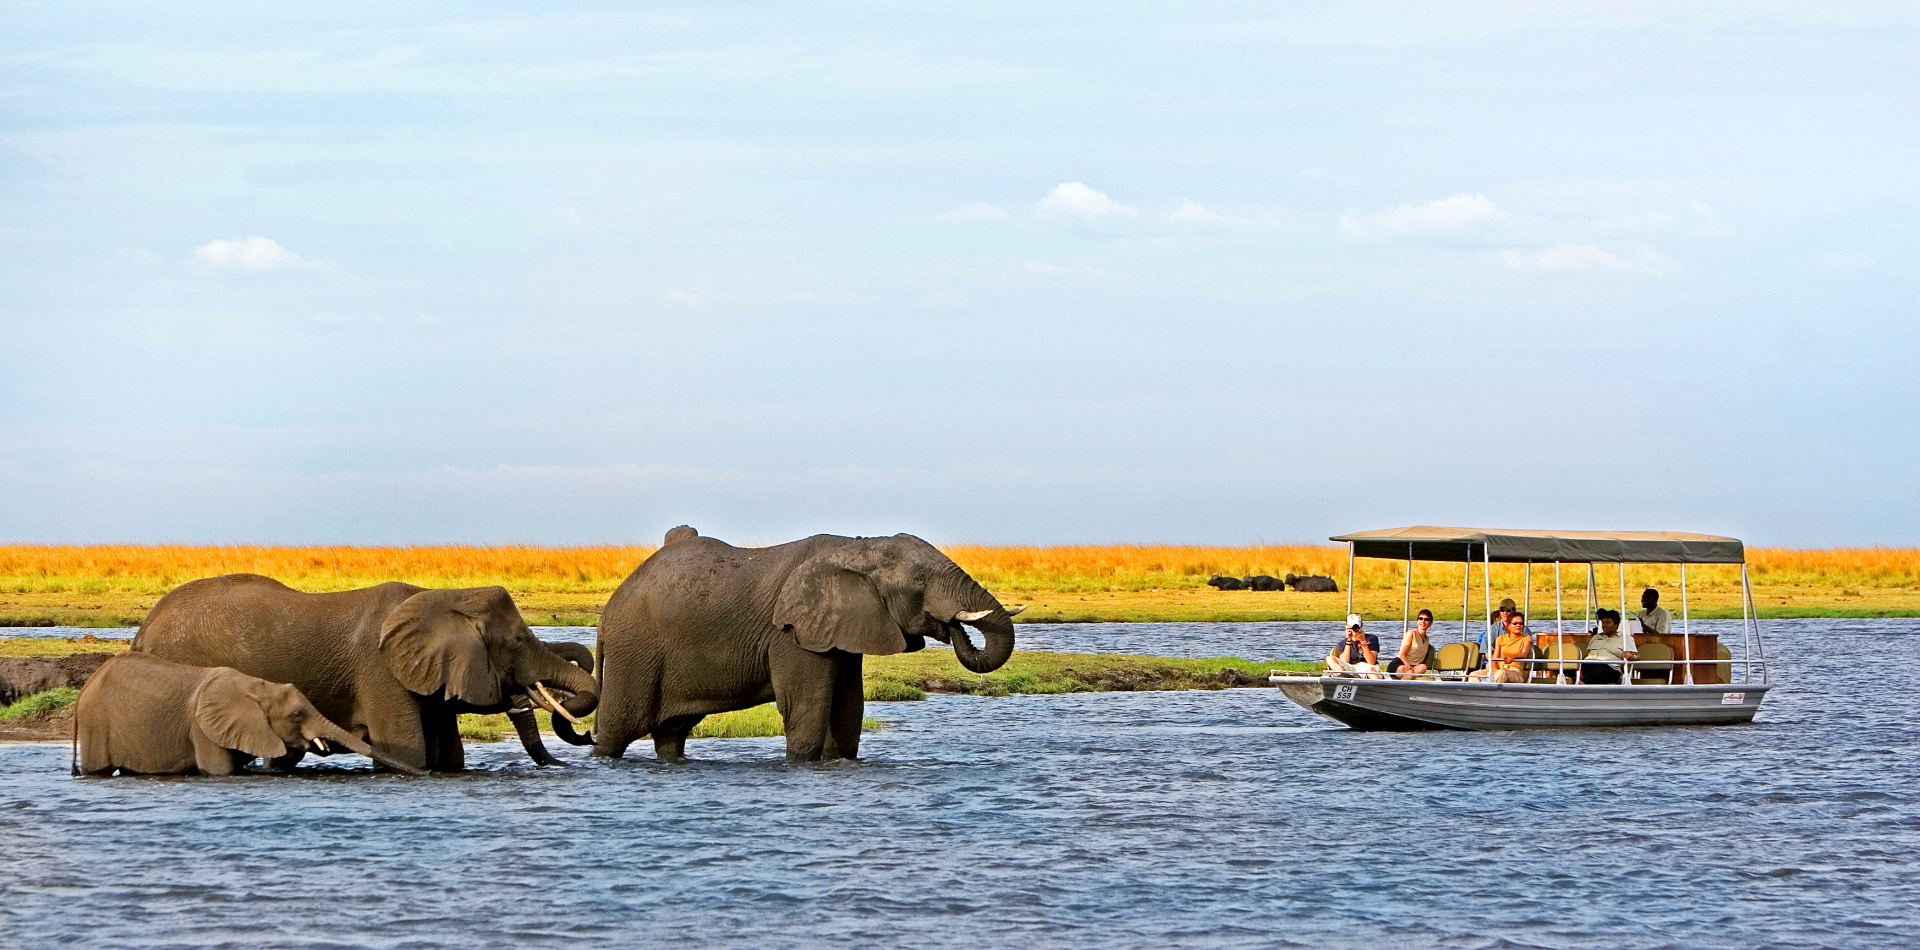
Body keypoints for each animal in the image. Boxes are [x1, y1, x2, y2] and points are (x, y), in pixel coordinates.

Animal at [79, 652, 424, 779]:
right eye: (297, 715)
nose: (427, 775)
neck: (256, 687)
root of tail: (86, 686)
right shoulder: (203, 729)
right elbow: (220, 771)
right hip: (95, 723)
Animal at [131, 571, 595, 775]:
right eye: (518, 640)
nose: (587, 738)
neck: (442, 597)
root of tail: (144, 628)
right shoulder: (379, 670)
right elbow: (409, 751)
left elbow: (449, 755)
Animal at [572, 529, 1013, 767]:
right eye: (920, 581)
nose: (953, 625)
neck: (855, 546)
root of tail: (608, 611)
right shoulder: (792, 633)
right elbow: (807, 706)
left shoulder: (843, 630)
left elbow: (848, 709)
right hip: (635, 649)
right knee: (617, 730)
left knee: (672, 731)